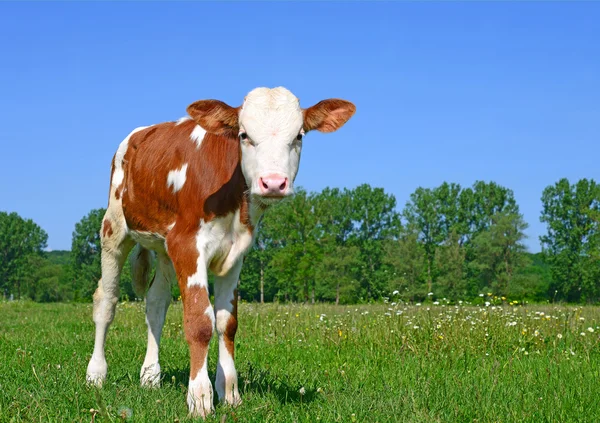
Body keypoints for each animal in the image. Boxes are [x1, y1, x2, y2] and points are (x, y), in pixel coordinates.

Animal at [85, 87, 356, 418]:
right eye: (244, 135)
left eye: (299, 136)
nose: (273, 183)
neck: (233, 205)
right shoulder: (187, 245)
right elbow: (200, 322)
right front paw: (199, 398)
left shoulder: (235, 254)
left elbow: (227, 323)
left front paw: (229, 392)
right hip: (114, 227)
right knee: (106, 301)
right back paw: (96, 374)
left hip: (164, 248)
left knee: (156, 303)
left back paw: (150, 376)